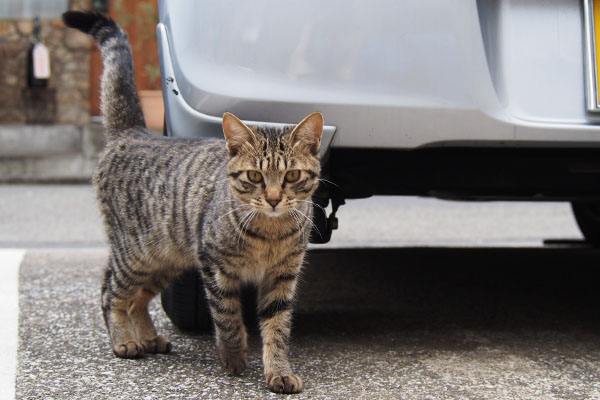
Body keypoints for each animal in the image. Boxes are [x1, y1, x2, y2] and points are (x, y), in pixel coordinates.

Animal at [63, 10, 324, 394]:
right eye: (254, 177)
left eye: (291, 176)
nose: (275, 199)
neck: (270, 232)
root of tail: (132, 132)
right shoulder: (216, 267)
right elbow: (228, 319)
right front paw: (234, 357)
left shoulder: (282, 276)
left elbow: (277, 328)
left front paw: (278, 371)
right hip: (136, 254)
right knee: (111, 292)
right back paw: (124, 340)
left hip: (166, 261)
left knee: (137, 299)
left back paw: (148, 337)